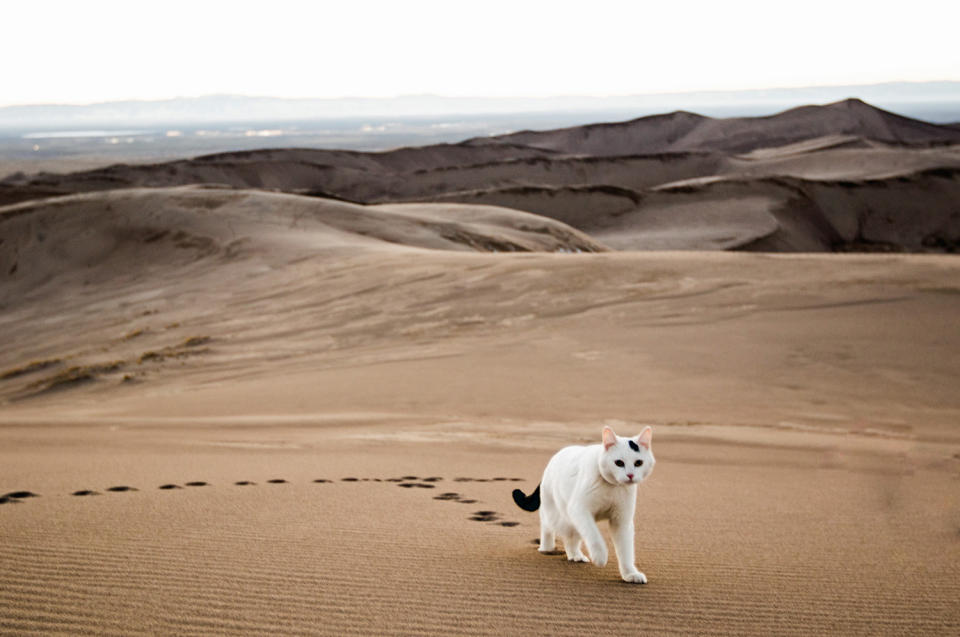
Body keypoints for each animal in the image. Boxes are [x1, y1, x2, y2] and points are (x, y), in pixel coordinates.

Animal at [512, 424, 656, 584]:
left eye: (638, 463)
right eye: (619, 463)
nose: (630, 475)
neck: (611, 487)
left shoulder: (622, 521)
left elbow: (626, 550)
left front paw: (630, 574)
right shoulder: (580, 510)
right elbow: (594, 536)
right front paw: (600, 557)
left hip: (570, 520)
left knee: (571, 537)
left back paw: (576, 556)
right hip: (558, 514)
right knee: (548, 525)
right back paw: (546, 547)